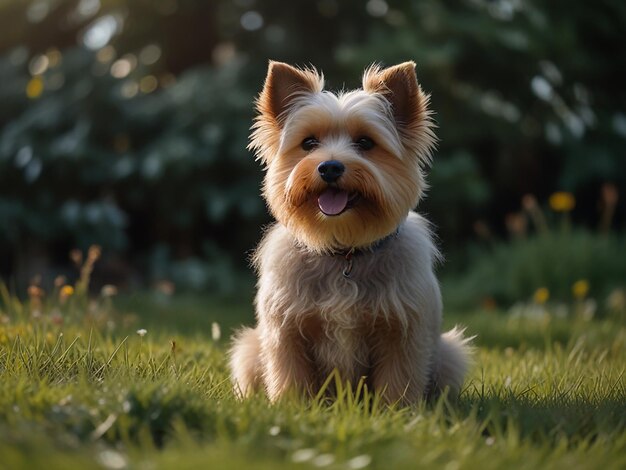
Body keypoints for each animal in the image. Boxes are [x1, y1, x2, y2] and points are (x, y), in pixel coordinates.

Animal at [228, 59, 468, 404]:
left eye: (366, 142)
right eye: (309, 143)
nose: (330, 167)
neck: (344, 251)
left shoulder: (402, 331)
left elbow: (398, 380)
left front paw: (396, 412)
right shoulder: (286, 331)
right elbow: (291, 376)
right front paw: (292, 407)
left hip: (451, 354)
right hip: (248, 349)